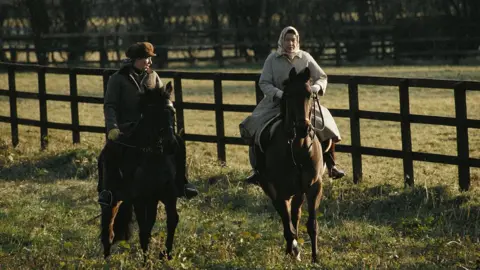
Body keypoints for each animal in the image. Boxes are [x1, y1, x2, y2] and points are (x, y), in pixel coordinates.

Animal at [99, 80, 180, 262]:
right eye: (154, 113)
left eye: (172, 112)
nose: (171, 144)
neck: (153, 158)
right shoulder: (139, 199)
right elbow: (144, 230)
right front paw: (145, 261)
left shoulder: (167, 195)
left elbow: (171, 221)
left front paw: (166, 254)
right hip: (112, 198)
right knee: (108, 227)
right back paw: (106, 258)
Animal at [256, 67, 324, 264]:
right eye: (288, 95)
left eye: (309, 94)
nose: (303, 128)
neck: (298, 148)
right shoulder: (280, 190)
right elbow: (287, 225)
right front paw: (294, 250)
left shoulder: (314, 187)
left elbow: (311, 225)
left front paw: (315, 258)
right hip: (272, 189)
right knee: (286, 218)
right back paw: (291, 249)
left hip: (298, 192)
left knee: (295, 214)